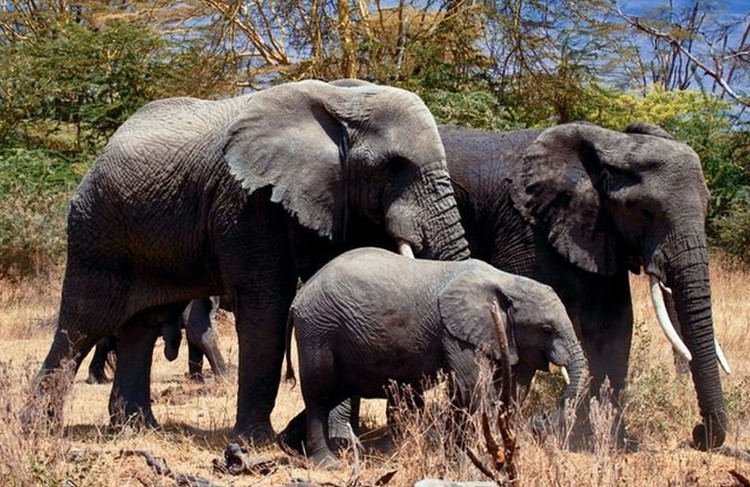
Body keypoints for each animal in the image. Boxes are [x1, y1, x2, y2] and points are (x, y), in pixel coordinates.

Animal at [86, 298, 229, 386]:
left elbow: (193, 336)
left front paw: (197, 381)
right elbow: (197, 331)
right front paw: (226, 379)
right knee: (105, 343)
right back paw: (97, 380)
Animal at [282, 248, 588, 468]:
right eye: (546, 329)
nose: (542, 421)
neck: (505, 281)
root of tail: (298, 299)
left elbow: (495, 389)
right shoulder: (455, 333)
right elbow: (472, 388)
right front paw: (472, 461)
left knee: (334, 391)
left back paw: (289, 443)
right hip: (318, 329)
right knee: (319, 394)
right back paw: (327, 463)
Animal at [440, 121, 728, 450]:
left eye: (707, 207)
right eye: (645, 211)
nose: (698, 434)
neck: (610, 145)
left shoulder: (599, 231)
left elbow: (612, 326)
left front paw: (612, 441)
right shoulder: (522, 228)